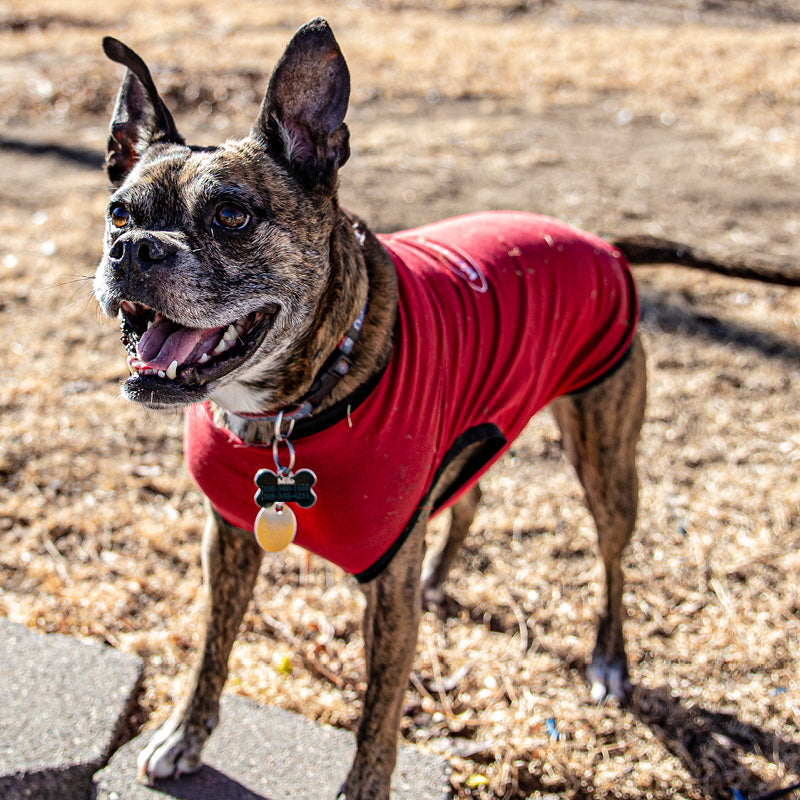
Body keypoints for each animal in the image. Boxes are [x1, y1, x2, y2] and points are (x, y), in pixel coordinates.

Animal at [95, 18, 648, 800]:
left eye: (231, 216)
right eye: (118, 213)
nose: (134, 250)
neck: (290, 409)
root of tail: (601, 241)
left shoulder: (387, 597)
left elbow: (377, 714)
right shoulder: (227, 539)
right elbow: (212, 646)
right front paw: (184, 734)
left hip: (605, 455)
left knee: (613, 560)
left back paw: (609, 658)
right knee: (468, 500)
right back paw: (440, 578)